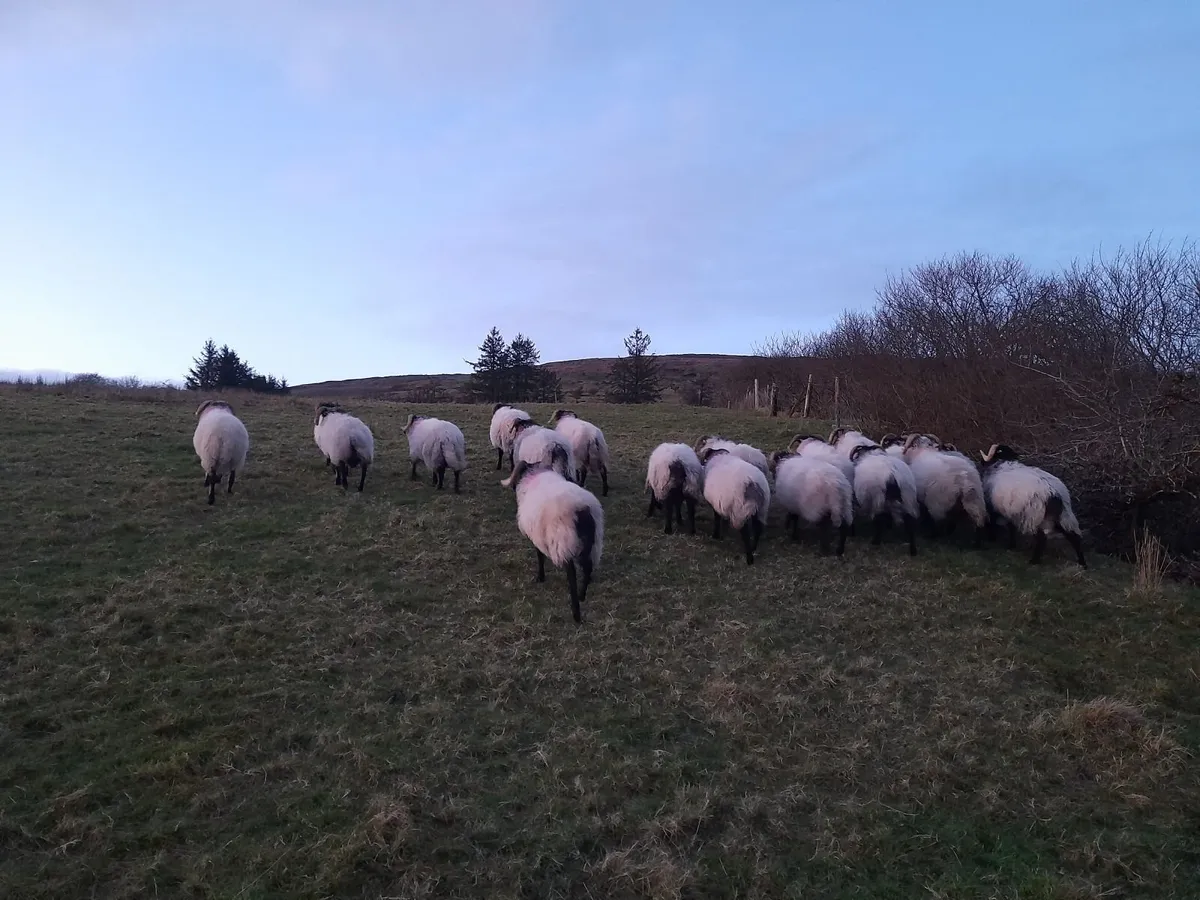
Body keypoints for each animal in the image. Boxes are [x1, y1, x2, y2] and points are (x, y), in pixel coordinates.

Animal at [500, 452, 604, 624]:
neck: (536, 474)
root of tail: (582, 509)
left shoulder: (537, 534)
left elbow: (539, 556)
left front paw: (540, 577)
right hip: (592, 544)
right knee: (588, 568)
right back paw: (582, 596)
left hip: (564, 542)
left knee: (572, 576)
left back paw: (576, 614)